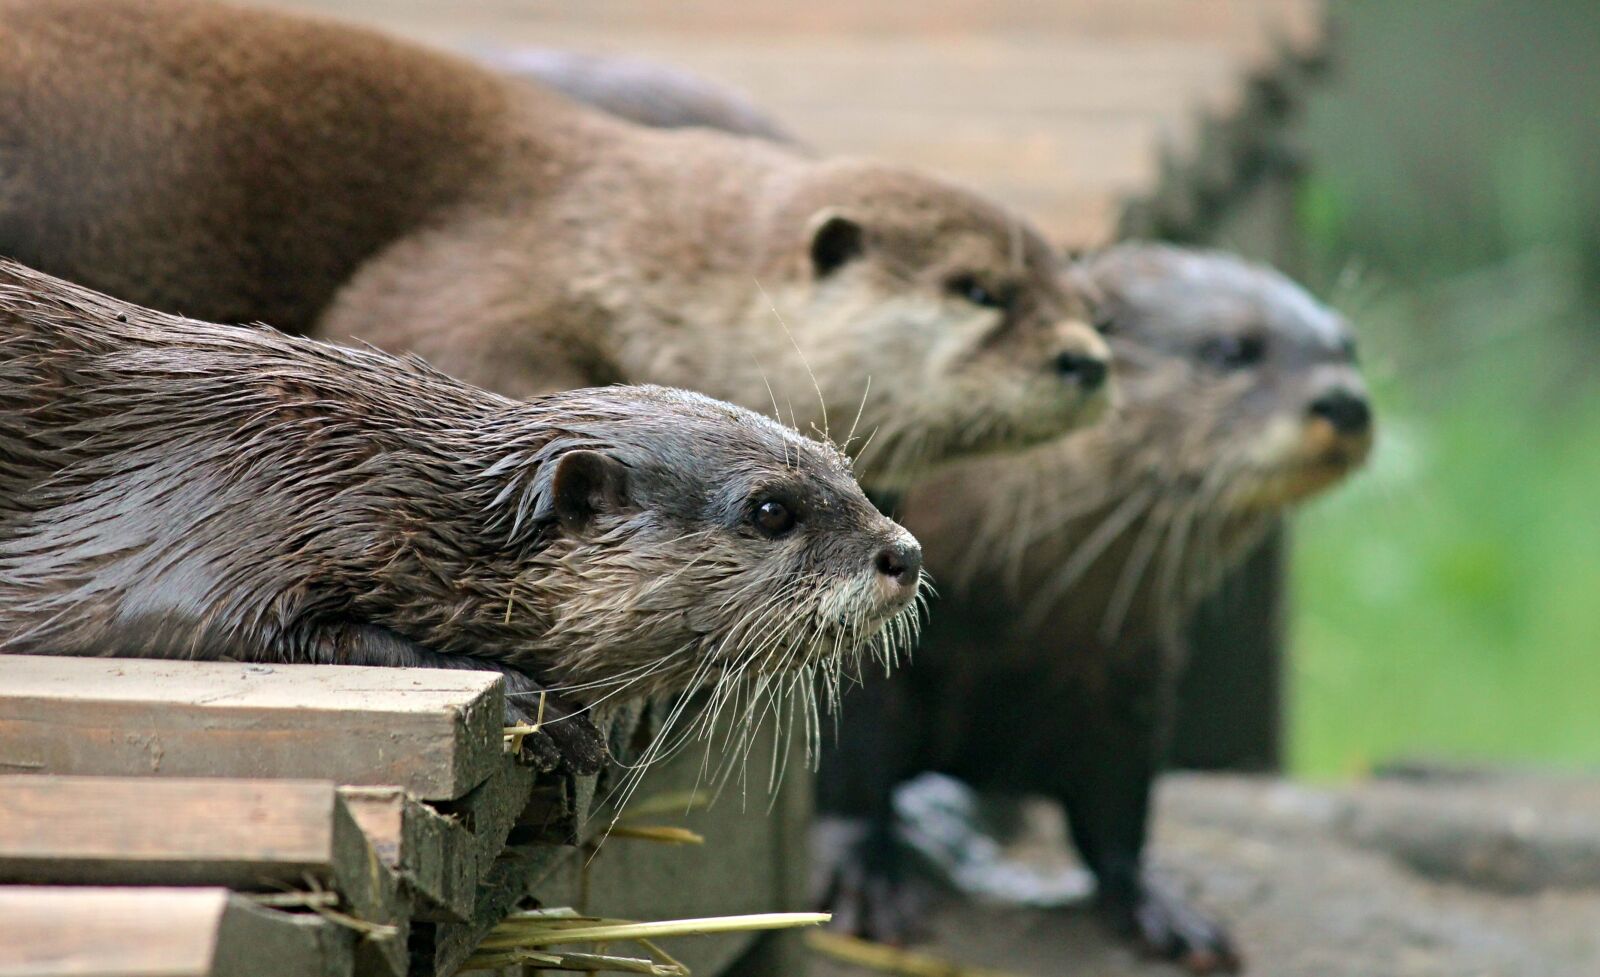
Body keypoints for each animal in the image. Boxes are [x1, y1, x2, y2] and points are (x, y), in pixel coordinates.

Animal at [0, 259, 925, 776]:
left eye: (846, 470)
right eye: (771, 509)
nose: (904, 553)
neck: (367, 478)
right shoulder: (214, 524)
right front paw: (532, 701)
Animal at [813, 245, 1374, 971]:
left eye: (1348, 346)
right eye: (1230, 350)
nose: (1345, 402)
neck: (1013, 607)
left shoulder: (1129, 673)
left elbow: (1120, 803)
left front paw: (1156, 906)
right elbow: (847, 766)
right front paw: (864, 879)